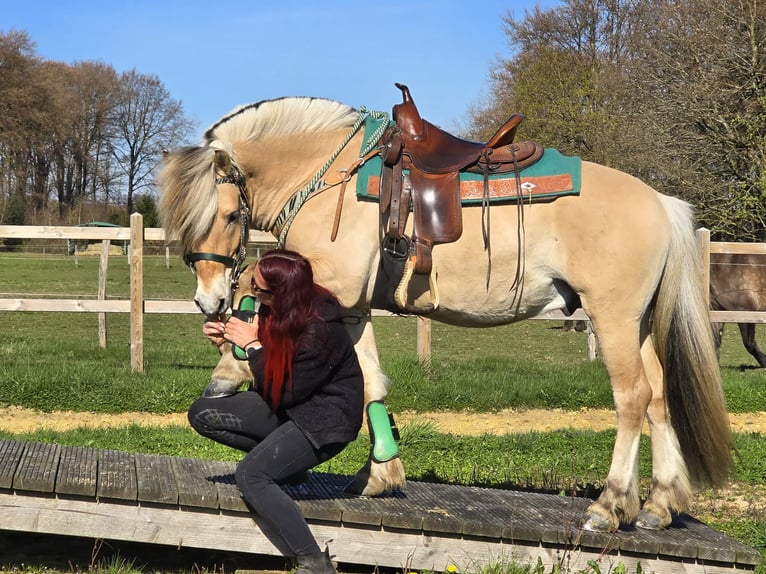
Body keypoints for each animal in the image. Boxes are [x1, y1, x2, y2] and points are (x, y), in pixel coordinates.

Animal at [157, 89, 734, 533]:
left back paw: (610, 506)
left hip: (612, 318)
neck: (327, 174)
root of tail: (661, 202)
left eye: (230, 216)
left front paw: (228, 369)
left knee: (632, 398)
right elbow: (371, 383)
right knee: (658, 396)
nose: (207, 298)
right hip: (637, 325)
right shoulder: (352, 307)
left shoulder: (332, 284)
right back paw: (659, 504)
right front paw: (379, 476)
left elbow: (263, 295)